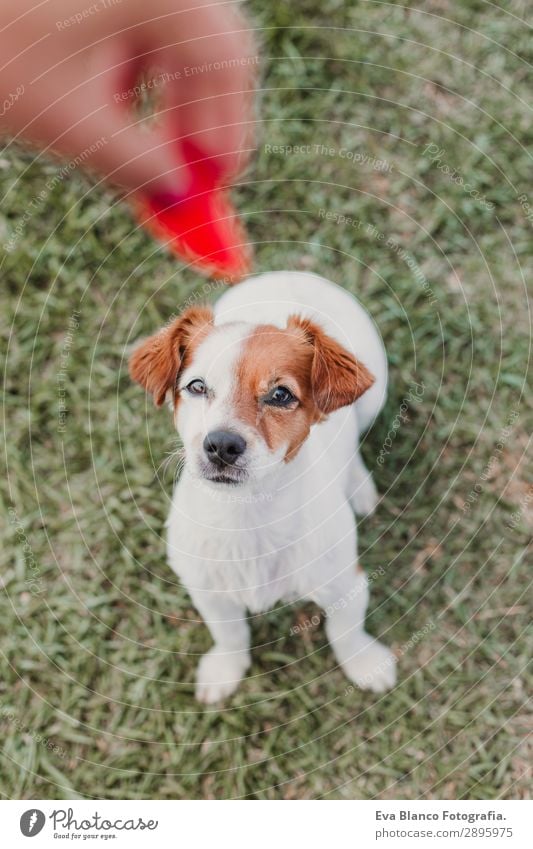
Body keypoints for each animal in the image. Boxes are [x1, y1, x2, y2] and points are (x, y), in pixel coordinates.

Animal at [129, 272, 394, 704]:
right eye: (197, 386)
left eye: (280, 395)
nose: (221, 445)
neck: (246, 513)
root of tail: (294, 274)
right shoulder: (207, 591)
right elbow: (230, 634)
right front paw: (226, 669)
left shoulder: (346, 583)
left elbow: (346, 632)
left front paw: (365, 663)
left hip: (374, 396)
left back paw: (358, 486)